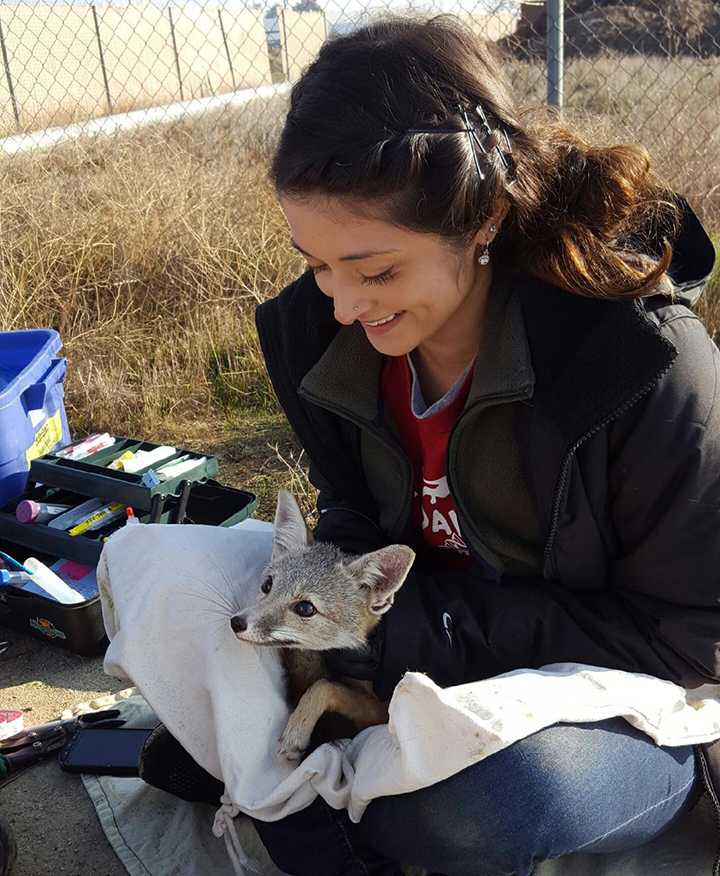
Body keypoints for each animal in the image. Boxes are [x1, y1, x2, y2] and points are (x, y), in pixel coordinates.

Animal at [228, 490, 414, 764]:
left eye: (306, 608)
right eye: (267, 585)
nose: (237, 622)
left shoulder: (380, 711)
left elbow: (324, 686)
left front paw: (297, 730)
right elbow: (324, 684)